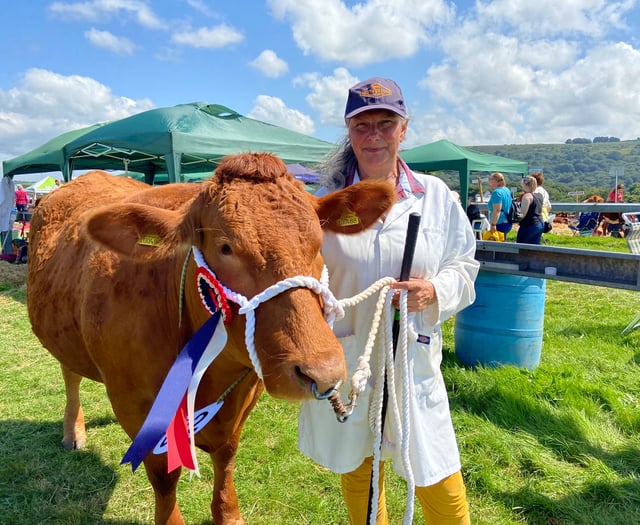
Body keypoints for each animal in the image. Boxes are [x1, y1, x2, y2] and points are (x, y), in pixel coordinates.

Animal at [26, 152, 396, 524]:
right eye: (225, 247)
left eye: (319, 243)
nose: (322, 371)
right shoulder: (133, 403)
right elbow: (164, 476)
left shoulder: (245, 394)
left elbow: (227, 455)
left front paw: (229, 513)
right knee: (70, 374)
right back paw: (73, 430)